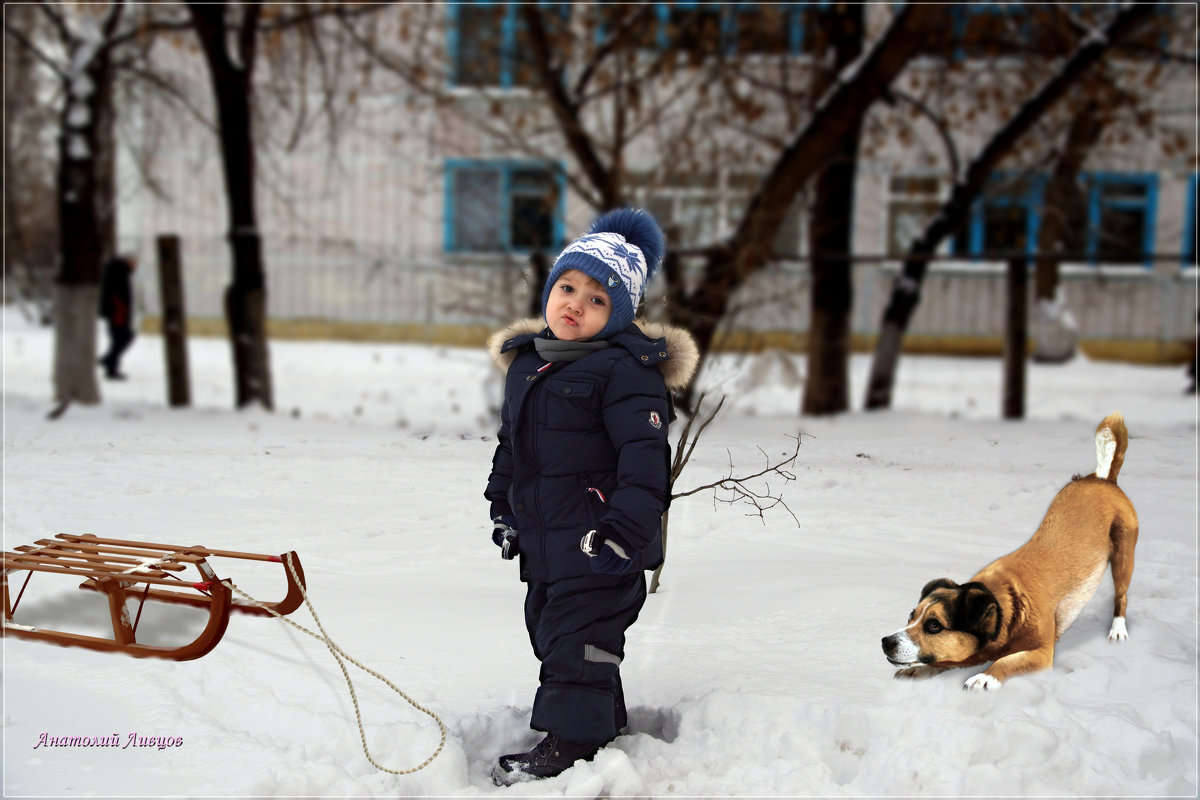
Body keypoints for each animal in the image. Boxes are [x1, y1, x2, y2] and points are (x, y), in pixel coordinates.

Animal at [888, 412, 1137, 690]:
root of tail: (1102, 478)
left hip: (1124, 557)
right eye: (911, 615)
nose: (886, 642)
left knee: (1121, 596)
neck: (1005, 608)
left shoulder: (1042, 653)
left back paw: (1117, 630)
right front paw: (918, 670)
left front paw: (984, 678)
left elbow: (1006, 661)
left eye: (934, 626)